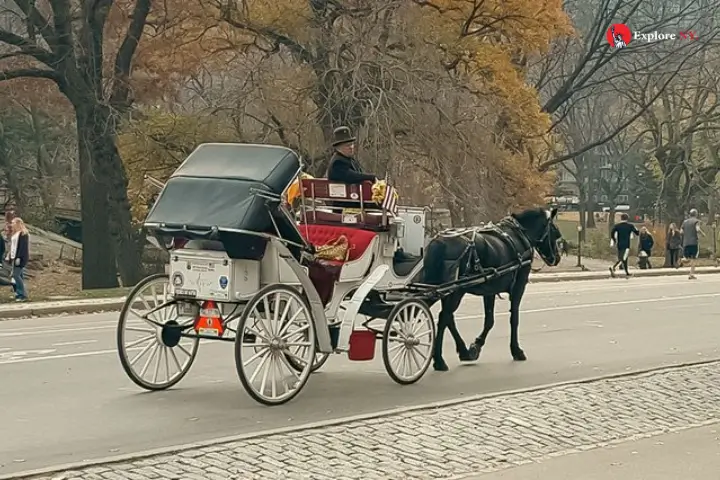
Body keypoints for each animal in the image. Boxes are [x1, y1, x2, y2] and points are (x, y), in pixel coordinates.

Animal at [422, 207, 564, 372]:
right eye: (555, 232)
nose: (556, 258)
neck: (521, 235)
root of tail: (440, 242)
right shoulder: (519, 287)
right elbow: (514, 318)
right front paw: (516, 350)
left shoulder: (489, 290)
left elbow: (489, 320)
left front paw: (475, 347)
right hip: (456, 291)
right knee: (444, 317)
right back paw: (439, 360)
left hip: (436, 287)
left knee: (443, 315)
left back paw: (463, 352)